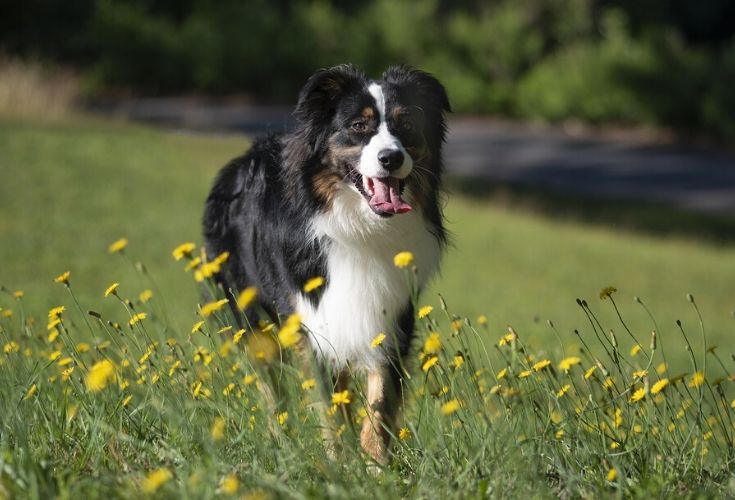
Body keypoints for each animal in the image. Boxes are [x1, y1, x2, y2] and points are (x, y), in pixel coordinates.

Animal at [204, 63, 452, 464]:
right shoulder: (315, 322)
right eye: (358, 126)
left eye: (406, 125)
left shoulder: (389, 317)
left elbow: (379, 402)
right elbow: (332, 407)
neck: (360, 227)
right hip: (249, 315)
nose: (391, 158)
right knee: (271, 389)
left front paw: (376, 465)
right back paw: (280, 441)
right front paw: (341, 464)